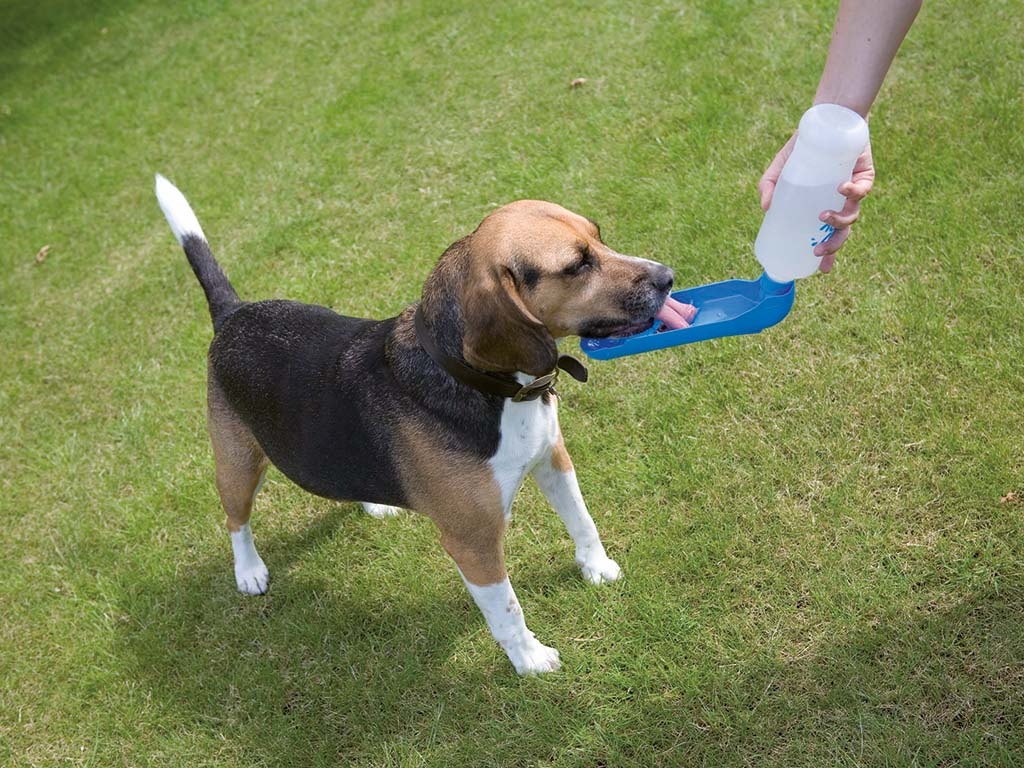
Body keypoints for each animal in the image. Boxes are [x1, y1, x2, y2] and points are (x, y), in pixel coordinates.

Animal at [153, 174, 671, 671]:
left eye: (598, 237)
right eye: (577, 265)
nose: (667, 277)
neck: (481, 383)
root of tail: (233, 314)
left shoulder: (552, 459)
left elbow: (582, 521)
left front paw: (597, 568)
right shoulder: (472, 541)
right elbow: (507, 610)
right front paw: (530, 660)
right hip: (239, 463)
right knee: (235, 519)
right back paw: (248, 571)